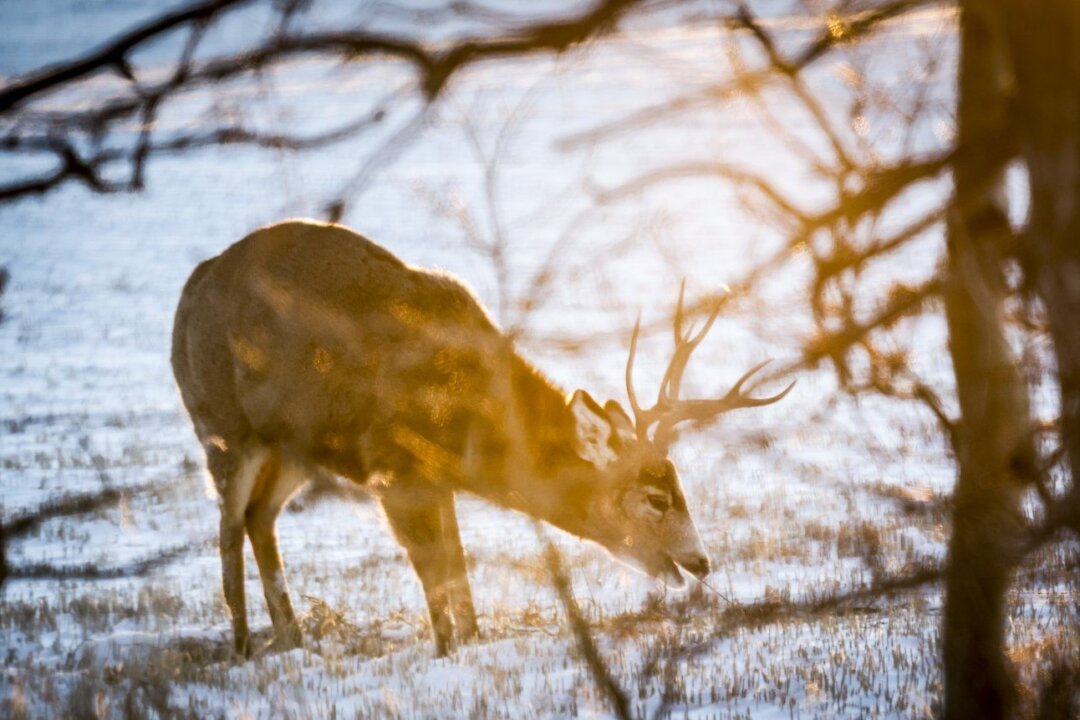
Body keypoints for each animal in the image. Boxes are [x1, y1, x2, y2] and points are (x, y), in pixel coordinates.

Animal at [170, 218, 794, 660]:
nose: (702, 560)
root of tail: (191, 287)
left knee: (259, 519)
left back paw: (292, 639)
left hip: (292, 449)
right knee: (228, 527)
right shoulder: (392, 470)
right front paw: (446, 649)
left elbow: (458, 561)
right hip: (220, 426)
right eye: (656, 497)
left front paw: (474, 640)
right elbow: (433, 567)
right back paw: (244, 646)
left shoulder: (434, 479)